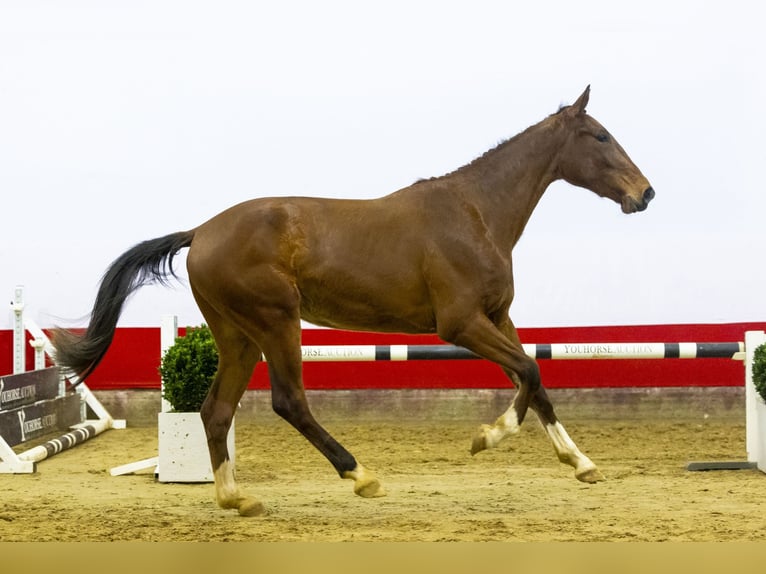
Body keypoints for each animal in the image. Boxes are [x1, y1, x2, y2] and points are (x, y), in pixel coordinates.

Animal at [54, 86, 656, 520]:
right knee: (289, 402)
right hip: (276, 322)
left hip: (237, 335)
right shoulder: (460, 324)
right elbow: (529, 371)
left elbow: (536, 380)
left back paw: (236, 498)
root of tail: (200, 232)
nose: (645, 193)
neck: (475, 213)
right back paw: (361, 476)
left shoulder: (498, 317)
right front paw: (485, 438)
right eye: (600, 136)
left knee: (215, 409)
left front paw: (581, 463)